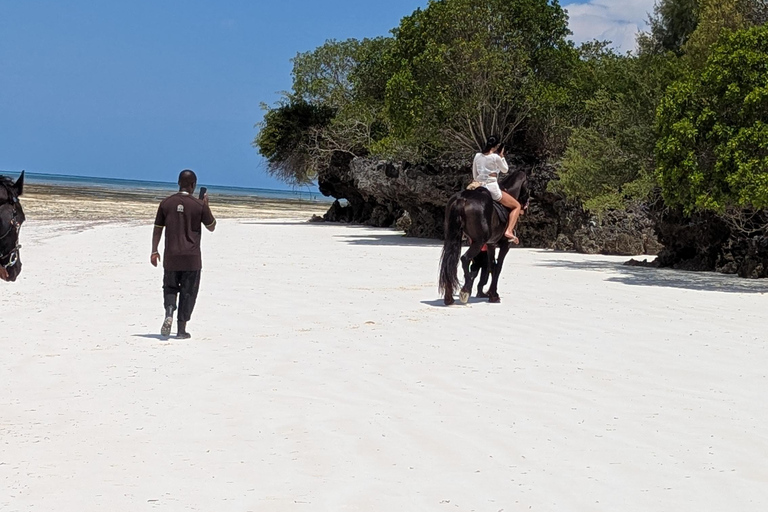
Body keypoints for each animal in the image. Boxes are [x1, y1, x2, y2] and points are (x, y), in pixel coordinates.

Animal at [438, 169, 529, 305]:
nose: (526, 206)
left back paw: (449, 297)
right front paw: (494, 295)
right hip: (479, 242)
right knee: (465, 259)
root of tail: (462, 198)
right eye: (528, 186)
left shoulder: (491, 245)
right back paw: (465, 290)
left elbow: (492, 266)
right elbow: (498, 267)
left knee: (449, 261)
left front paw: (491, 294)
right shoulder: (505, 245)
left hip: (452, 237)